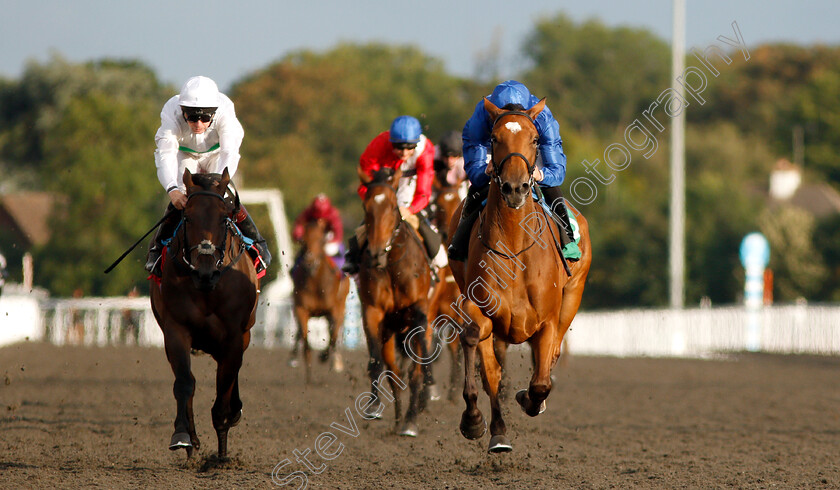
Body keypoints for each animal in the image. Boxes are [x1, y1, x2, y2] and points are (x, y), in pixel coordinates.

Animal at [149, 168, 258, 460]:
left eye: (224, 217)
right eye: (187, 217)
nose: (204, 272)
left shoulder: (234, 337)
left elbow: (225, 386)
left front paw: (221, 452)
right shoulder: (176, 330)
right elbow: (185, 383)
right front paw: (183, 436)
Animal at [292, 218, 352, 382]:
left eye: (320, 240)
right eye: (303, 240)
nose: (309, 262)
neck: (317, 284)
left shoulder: (335, 311)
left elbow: (333, 337)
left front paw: (324, 357)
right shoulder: (301, 309)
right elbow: (305, 340)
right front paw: (309, 373)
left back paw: (335, 361)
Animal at [354, 166, 434, 436]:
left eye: (391, 206)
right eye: (366, 206)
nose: (376, 253)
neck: (393, 267)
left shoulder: (420, 307)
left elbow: (419, 367)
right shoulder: (372, 311)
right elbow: (376, 361)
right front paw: (373, 406)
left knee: (413, 372)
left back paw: (410, 420)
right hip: (389, 332)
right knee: (394, 374)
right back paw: (400, 419)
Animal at [446, 97, 592, 454]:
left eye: (536, 139)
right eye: (494, 138)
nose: (514, 187)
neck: (514, 247)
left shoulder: (548, 320)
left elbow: (540, 382)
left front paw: (529, 398)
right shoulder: (479, 307)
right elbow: (478, 352)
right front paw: (474, 421)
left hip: (573, 296)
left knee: (552, 357)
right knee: (491, 369)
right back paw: (497, 432)